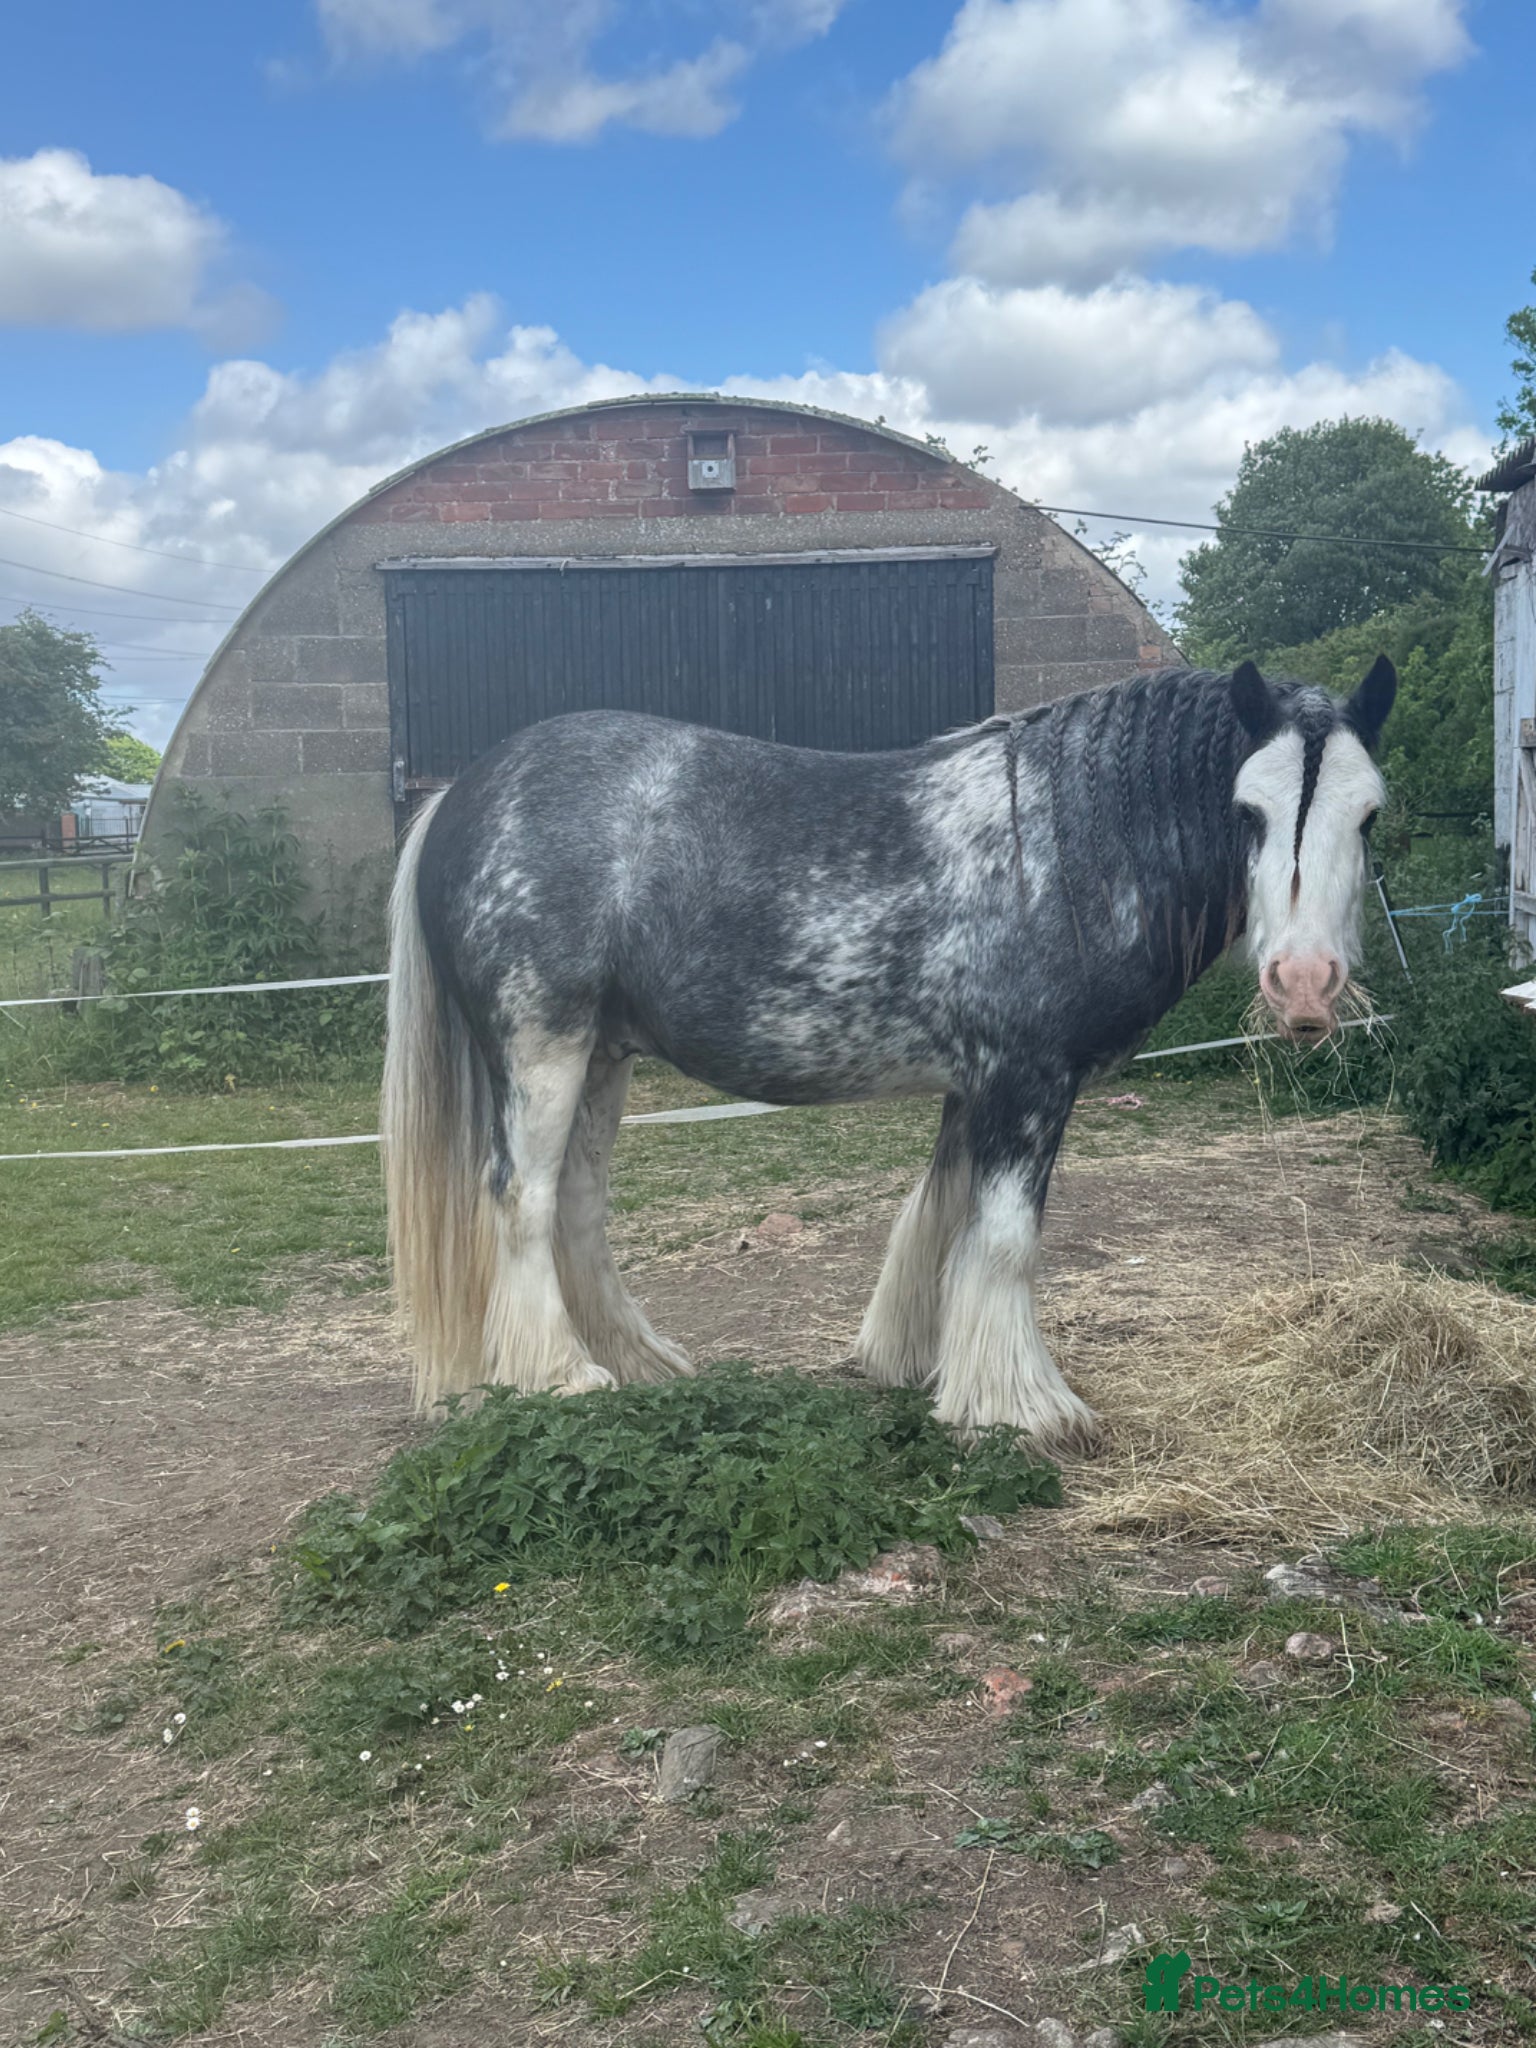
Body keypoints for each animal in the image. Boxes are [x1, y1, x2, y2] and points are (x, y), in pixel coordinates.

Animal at [382, 655, 1395, 1452]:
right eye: (1248, 810)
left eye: (1370, 816)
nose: (1305, 986)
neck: (1060, 842)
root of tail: (464, 794)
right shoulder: (1028, 1082)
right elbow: (1005, 1238)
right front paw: (1026, 1408)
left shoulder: (978, 1087)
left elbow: (941, 1215)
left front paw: (917, 1363)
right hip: (542, 1047)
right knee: (522, 1198)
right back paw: (559, 1376)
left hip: (602, 1058)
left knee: (578, 1209)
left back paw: (636, 1361)